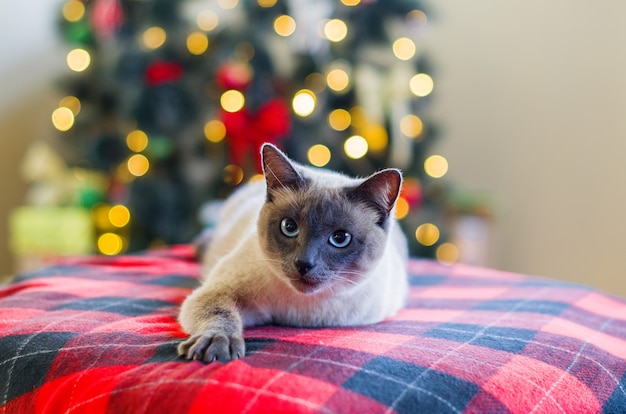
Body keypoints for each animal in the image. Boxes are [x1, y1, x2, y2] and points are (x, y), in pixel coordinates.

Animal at [177, 143, 410, 362]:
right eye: (289, 227)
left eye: (340, 238)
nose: (304, 264)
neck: (300, 314)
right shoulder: (222, 294)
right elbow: (221, 314)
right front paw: (217, 345)